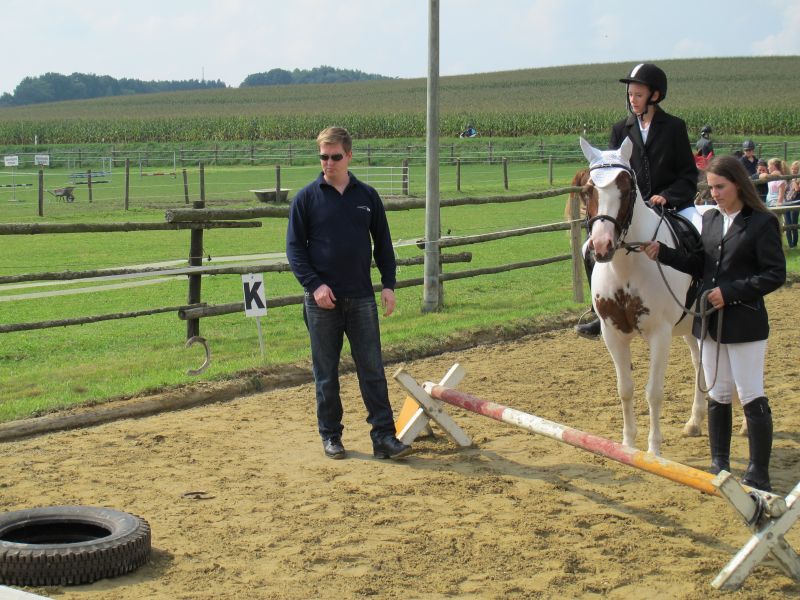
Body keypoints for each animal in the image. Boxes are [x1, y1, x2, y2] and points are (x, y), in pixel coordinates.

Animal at [579, 137, 706, 455]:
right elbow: (625, 389)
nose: (602, 245)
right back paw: (695, 421)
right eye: (588, 190)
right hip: (691, 326)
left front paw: (654, 450)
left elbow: (654, 392)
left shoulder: (659, 334)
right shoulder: (612, 334)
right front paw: (627, 445)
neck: (627, 266)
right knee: (700, 362)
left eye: (626, 188)